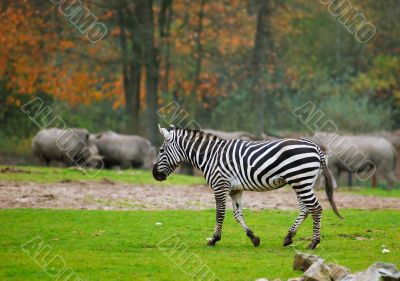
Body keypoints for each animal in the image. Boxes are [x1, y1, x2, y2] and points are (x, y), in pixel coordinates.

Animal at [152, 126, 342, 248]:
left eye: (161, 151)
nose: (154, 174)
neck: (211, 156)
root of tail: (315, 146)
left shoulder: (220, 185)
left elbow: (220, 213)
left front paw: (214, 239)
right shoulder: (235, 189)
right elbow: (237, 215)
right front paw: (253, 238)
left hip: (301, 180)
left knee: (316, 208)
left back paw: (314, 243)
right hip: (302, 182)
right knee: (305, 208)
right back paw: (289, 237)